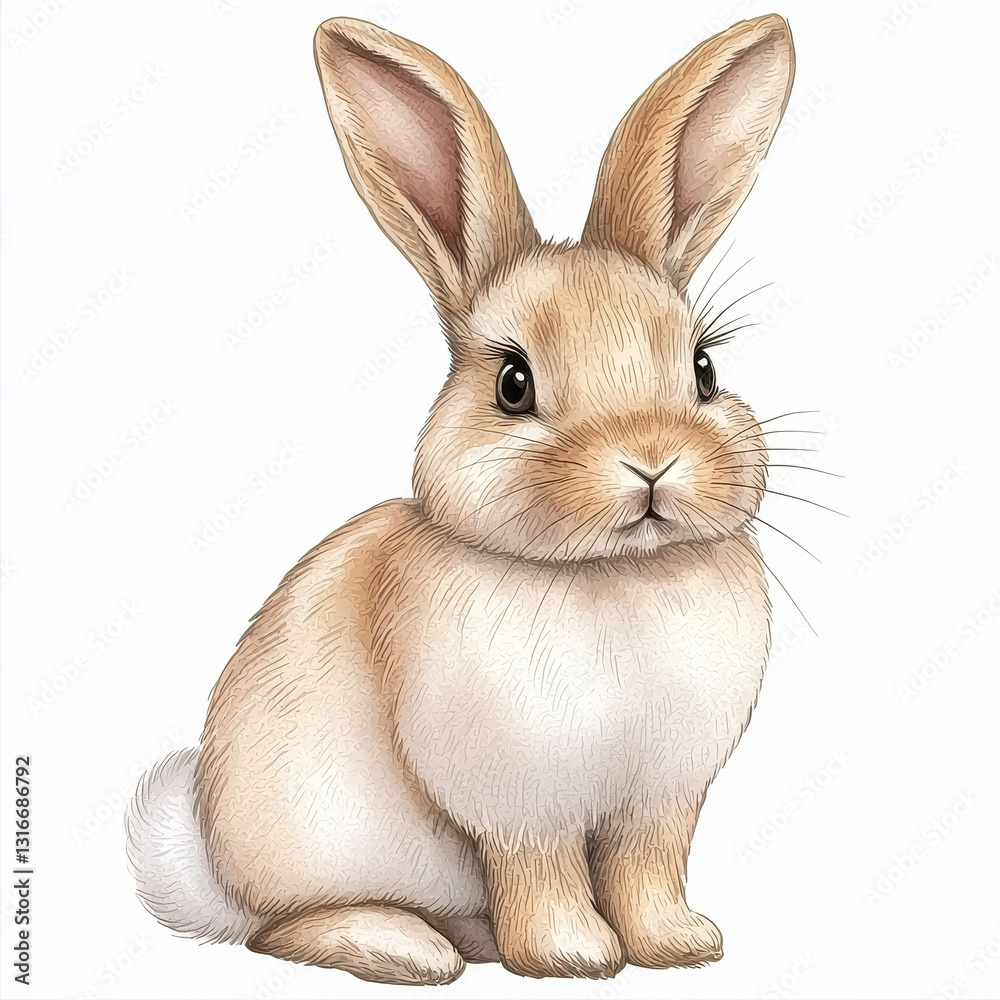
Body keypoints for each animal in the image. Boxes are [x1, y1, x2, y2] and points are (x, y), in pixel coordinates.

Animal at [127, 12, 795, 986]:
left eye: (704, 369)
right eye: (513, 384)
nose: (651, 462)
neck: (610, 575)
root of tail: (213, 866)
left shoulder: (661, 798)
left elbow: (646, 868)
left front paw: (679, 944)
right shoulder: (520, 804)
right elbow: (543, 872)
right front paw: (572, 955)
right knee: (280, 930)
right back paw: (410, 948)